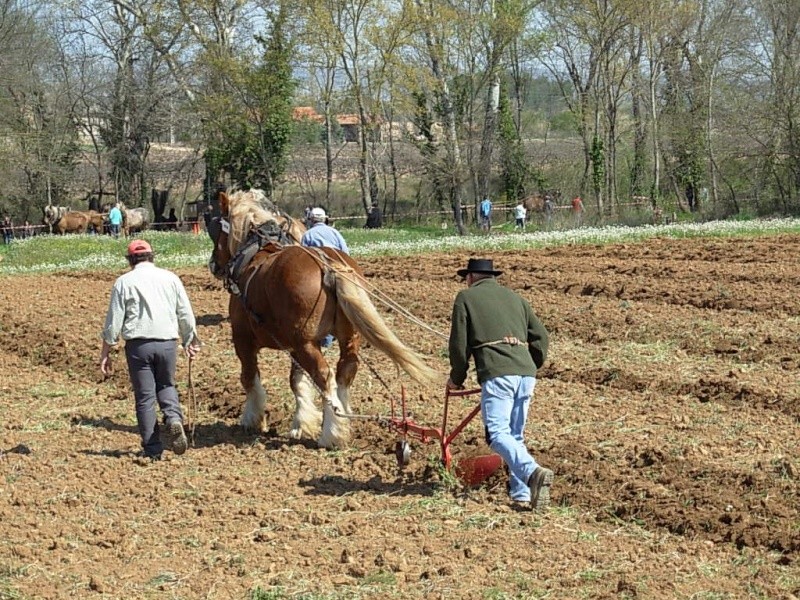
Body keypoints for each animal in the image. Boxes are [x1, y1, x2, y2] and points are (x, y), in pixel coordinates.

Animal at [203, 190, 434, 448]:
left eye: (217, 230)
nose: (213, 264)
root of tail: (329, 266)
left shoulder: (243, 339)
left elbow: (250, 378)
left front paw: (252, 419)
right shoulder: (292, 345)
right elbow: (297, 381)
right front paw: (301, 424)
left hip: (305, 343)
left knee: (324, 376)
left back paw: (331, 434)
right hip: (345, 337)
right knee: (345, 371)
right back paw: (342, 419)